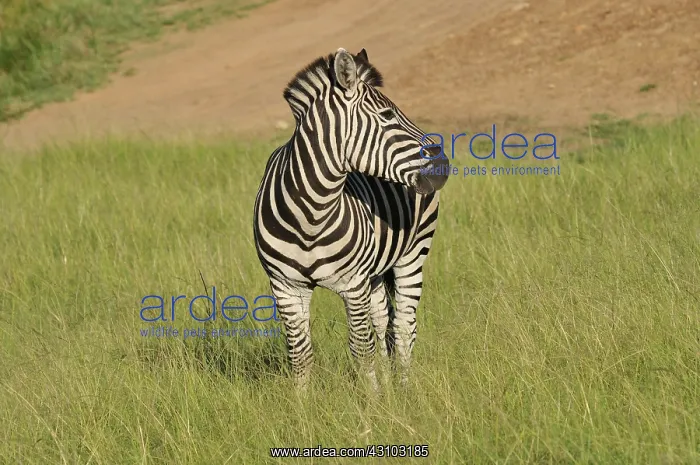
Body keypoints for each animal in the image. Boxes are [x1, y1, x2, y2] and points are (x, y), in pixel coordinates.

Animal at [253, 47, 449, 390]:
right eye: (387, 115)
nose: (443, 165)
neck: (310, 216)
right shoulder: (286, 287)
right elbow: (300, 356)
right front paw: (302, 406)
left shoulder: (353, 284)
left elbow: (361, 350)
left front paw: (372, 404)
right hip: (377, 270)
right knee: (384, 321)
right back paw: (390, 387)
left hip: (413, 254)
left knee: (403, 328)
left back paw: (405, 391)